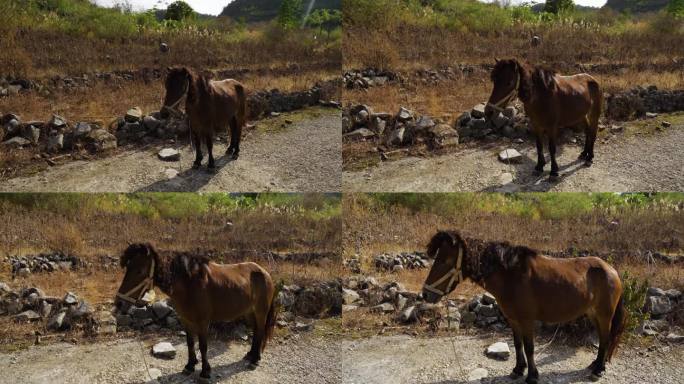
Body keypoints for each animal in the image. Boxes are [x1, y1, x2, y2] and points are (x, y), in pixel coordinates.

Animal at [114, 244, 276, 382]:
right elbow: (190, 343)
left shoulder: (203, 322)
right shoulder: (186, 319)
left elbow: (203, 346)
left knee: (260, 331)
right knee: (256, 331)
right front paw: (190, 366)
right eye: (127, 268)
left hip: (260, 312)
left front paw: (205, 372)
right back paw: (250, 355)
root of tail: (265, 273)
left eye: (139, 271)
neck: (189, 284)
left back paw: (255, 359)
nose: (119, 303)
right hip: (249, 312)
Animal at [422, 231, 624, 384]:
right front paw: (518, 370)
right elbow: (518, 344)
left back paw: (598, 370)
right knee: (602, 338)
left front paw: (532, 376)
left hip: (604, 315)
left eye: (444, 261)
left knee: (605, 338)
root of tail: (611, 270)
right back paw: (595, 364)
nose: (425, 294)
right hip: (593, 314)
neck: (511, 276)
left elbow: (529, 347)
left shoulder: (526, 320)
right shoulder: (513, 319)